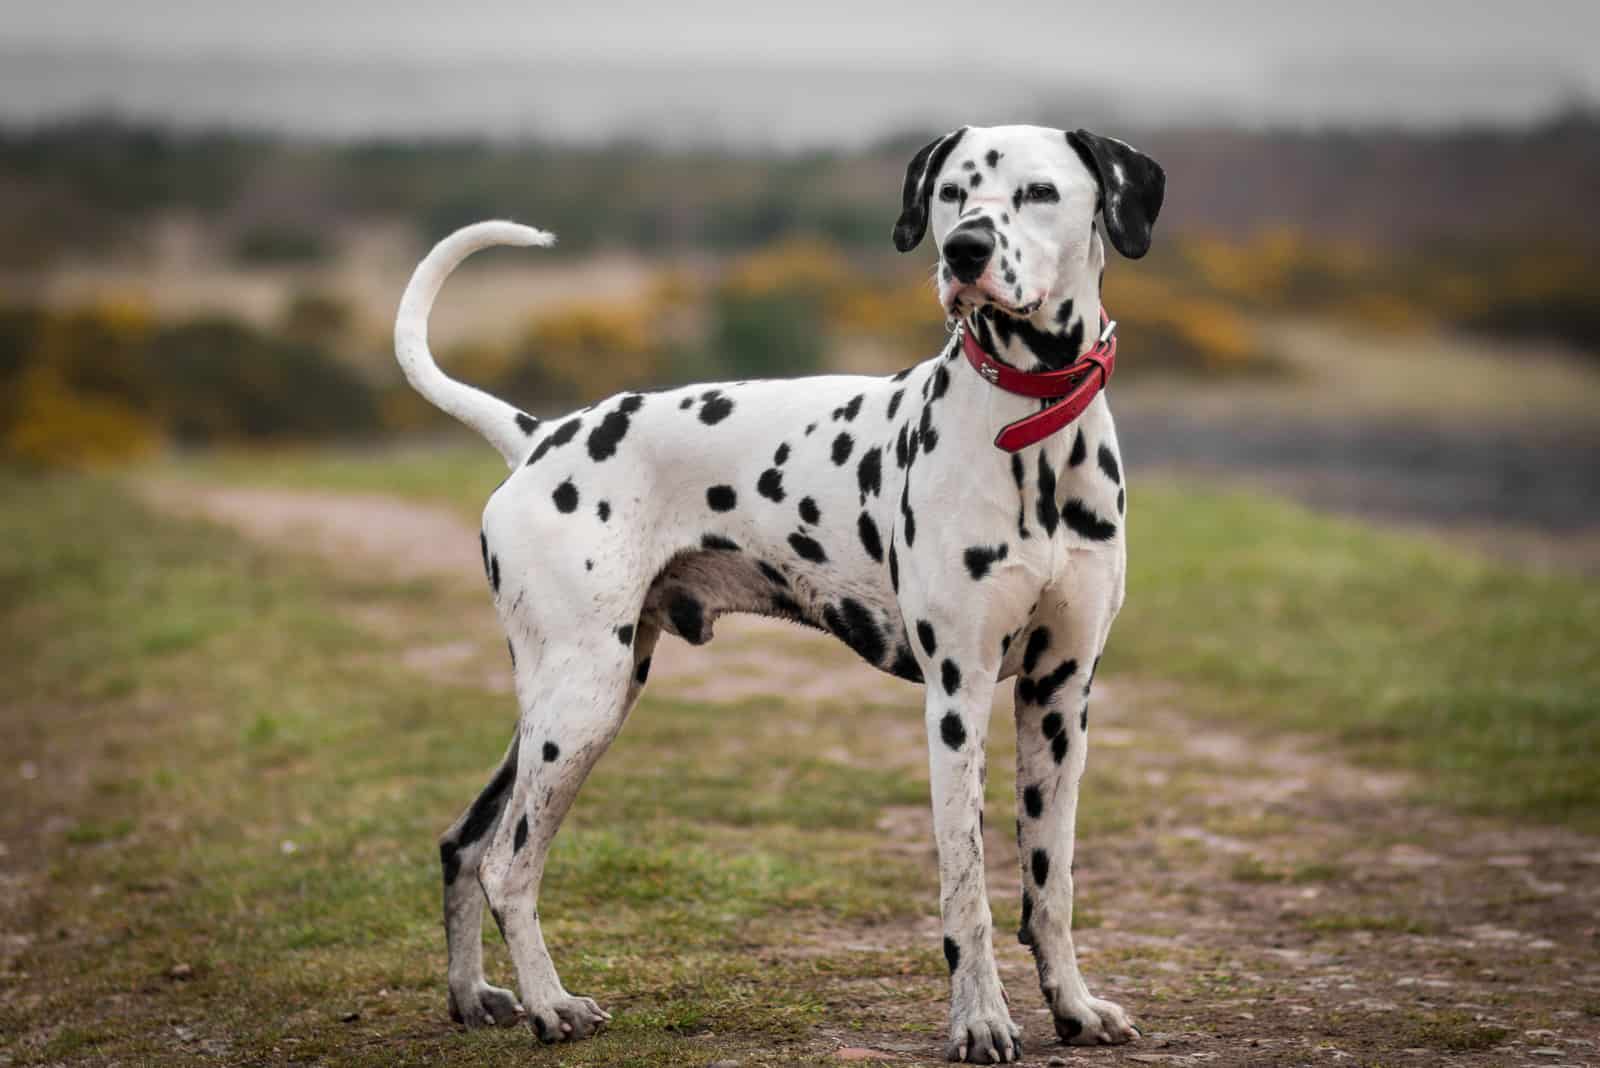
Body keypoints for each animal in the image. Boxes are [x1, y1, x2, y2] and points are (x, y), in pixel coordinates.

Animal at [392, 123, 1158, 1061]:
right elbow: (967, 890)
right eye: (952, 193)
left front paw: (1075, 1006)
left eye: (1040, 192)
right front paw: (980, 1019)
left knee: (464, 843)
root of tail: (539, 436)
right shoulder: (958, 698)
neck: (1030, 432)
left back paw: (473, 995)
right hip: (582, 705)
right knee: (509, 864)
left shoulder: (1059, 695)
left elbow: (1051, 883)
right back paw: (551, 1005)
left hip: (564, 705)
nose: (965, 250)